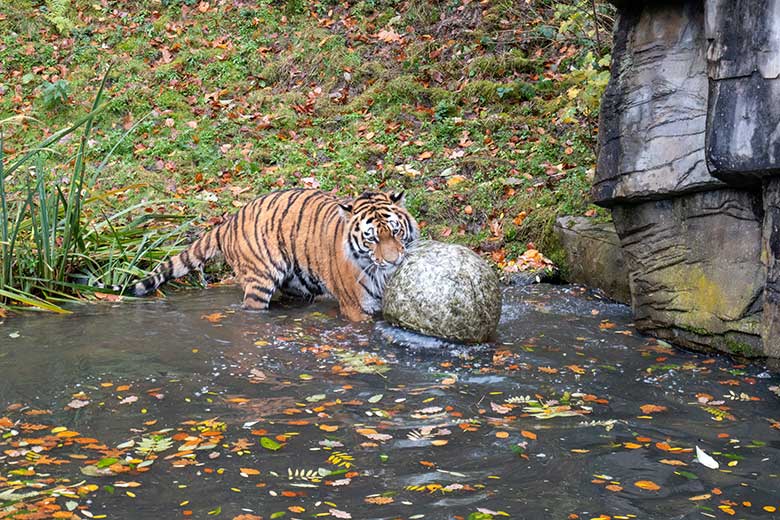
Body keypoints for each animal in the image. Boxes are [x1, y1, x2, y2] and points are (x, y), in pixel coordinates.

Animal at [129, 189, 420, 318]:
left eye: (395, 232)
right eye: (371, 239)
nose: (393, 260)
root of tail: (227, 223)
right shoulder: (357, 308)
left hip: (297, 282)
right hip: (259, 282)